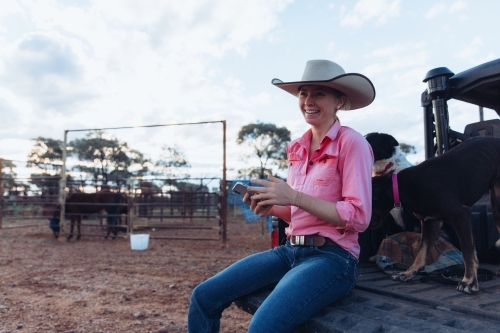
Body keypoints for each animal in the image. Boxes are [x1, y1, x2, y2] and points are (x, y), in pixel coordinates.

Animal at [370, 136, 500, 294]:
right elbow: (421, 253)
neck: (400, 186)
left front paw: (469, 281)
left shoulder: (461, 215)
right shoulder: (431, 222)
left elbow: (468, 252)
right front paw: (408, 273)